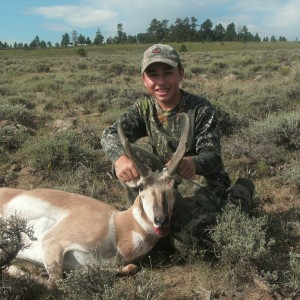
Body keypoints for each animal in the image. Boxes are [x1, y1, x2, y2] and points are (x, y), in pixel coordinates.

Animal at [0, 112, 190, 286]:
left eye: (174, 185)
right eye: (141, 187)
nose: (161, 220)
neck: (118, 226)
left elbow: (130, 267)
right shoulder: (51, 241)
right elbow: (56, 283)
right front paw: (15, 269)